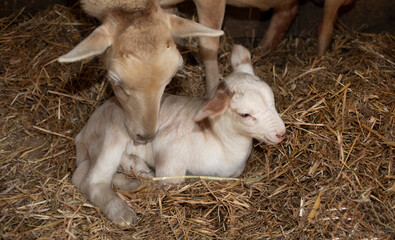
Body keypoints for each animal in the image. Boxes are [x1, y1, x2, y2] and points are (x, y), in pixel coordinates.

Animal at [73, 44, 284, 226]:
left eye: (273, 101)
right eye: (245, 114)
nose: (281, 133)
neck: (218, 140)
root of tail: (83, 133)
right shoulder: (169, 153)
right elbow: (167, 184)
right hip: (111, 135)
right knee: (91, 180)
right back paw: (123, 212)